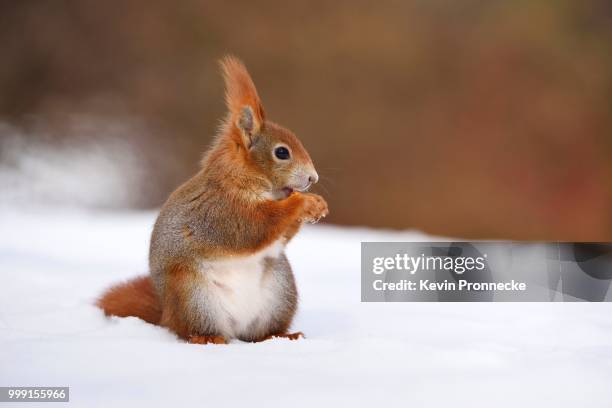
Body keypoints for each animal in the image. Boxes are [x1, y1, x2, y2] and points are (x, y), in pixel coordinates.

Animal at [99, 56, 330, 344]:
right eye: (282, 152)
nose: (313, 178)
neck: (244, 180)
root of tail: (166, 315)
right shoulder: (221, 210)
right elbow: (254, 227)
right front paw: (304, 203)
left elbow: (279, 237)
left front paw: (318, 205)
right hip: (194, 296)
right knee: (192, 331)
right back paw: (209, 339)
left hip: (281, 291)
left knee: (259, 334)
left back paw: (283, 336)